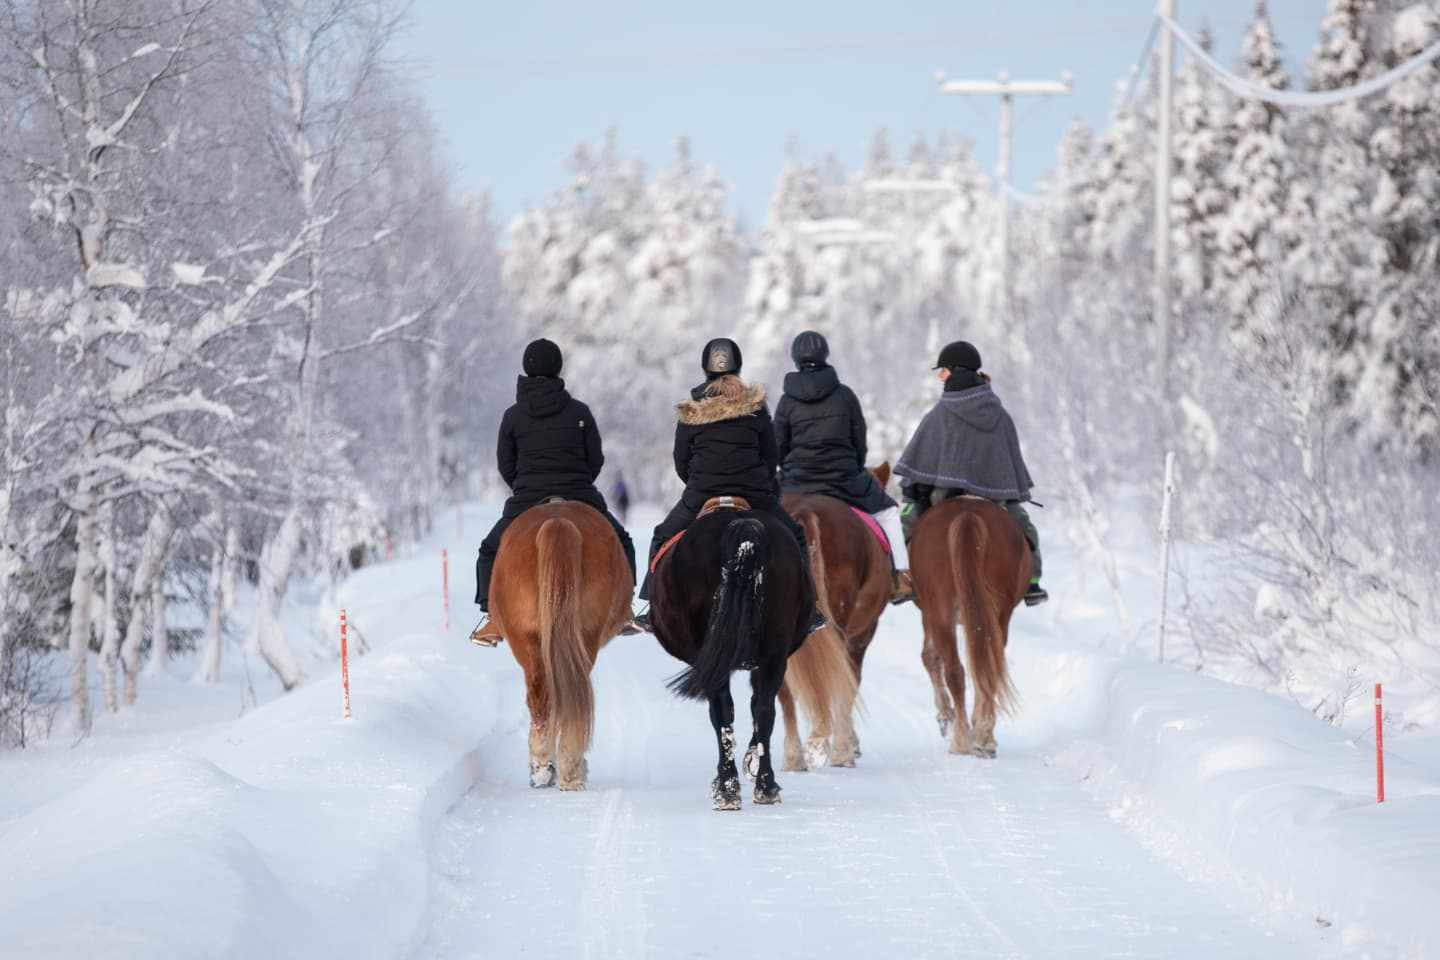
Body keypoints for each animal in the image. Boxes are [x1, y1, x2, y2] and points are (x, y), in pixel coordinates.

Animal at [489, 503, 630, 788]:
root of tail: (558, 522)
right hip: (579, 637)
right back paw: (562, 769)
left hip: (529, 641)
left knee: (543, 698)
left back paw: (548, 768)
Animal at [653, 506, 840, 805]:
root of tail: (744, 529)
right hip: (773, 653)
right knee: (763, 709)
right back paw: (765, 785)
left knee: (723, 710)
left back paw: (727, 787)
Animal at [777, 460, 887, 771]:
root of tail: (805, 509)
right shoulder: (862, 636)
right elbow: (849, 681)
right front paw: (846, 745)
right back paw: (832, 748)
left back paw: (795, 756)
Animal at [910, 495, 1025, 759]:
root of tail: (967, 515)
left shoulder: (928, 614)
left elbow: (929, 657)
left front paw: (945, 716)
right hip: (996, 614)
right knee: (985, 668)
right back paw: (981, 738)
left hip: (941, 612)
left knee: (955, 670)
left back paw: (965, 738)